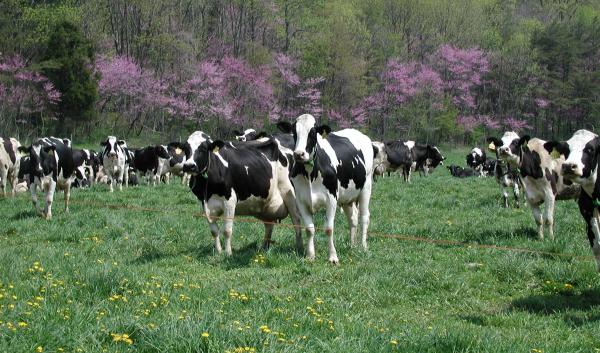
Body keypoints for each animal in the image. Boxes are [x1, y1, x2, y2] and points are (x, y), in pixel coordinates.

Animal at [278, 114, 372, 262]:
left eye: (312, 133)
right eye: (294, 132)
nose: (298, 154)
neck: (310, 173)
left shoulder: (331, 199)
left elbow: (328, 228)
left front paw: (333, 257)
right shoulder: (301, 200)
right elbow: (309, 229)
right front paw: (310, 256)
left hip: (366, 187)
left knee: (364, 217)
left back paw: (363, 246)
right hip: (347, 197)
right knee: (353, 218)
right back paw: (352, 245)